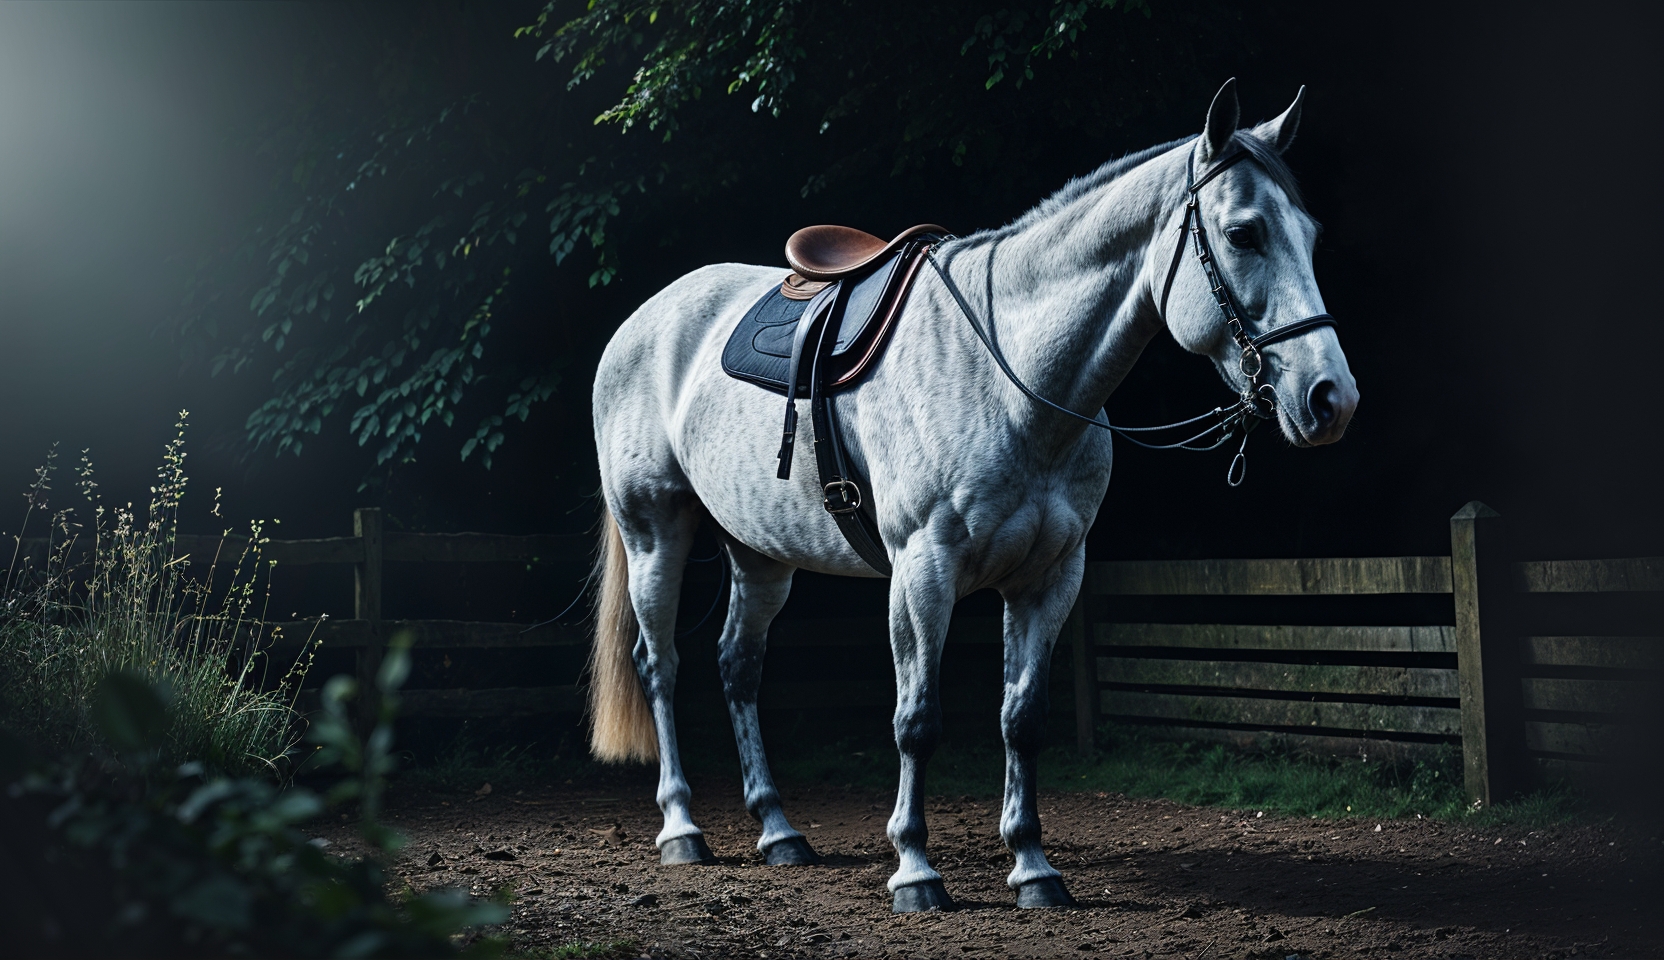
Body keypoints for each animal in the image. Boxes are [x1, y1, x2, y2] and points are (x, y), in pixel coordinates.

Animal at [586, 79, 1359, 913]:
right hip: (655, 533)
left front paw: (1033, 866)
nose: (1331, 398)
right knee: (660, 665)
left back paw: (779, 831)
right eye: (1244, 233)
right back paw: (682, 829)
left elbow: (1022, 717)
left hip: (759, 554)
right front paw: (915, 870)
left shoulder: (1051, 577)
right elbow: (917, 720)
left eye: (1309, 235)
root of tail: (641, 321)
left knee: (738, 666)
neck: (1011, 377)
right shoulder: (923, 571)